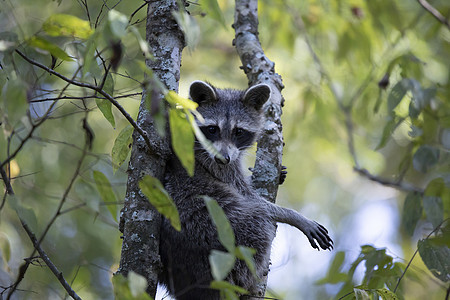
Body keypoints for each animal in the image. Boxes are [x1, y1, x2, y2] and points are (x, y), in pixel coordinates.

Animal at [160, 81, 332, 300]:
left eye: (239, 132)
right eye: (212, 129)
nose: (222, 158)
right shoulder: (210, 161)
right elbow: (251, 199)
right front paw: (294, 216)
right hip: (219, 231)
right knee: (259, 223)